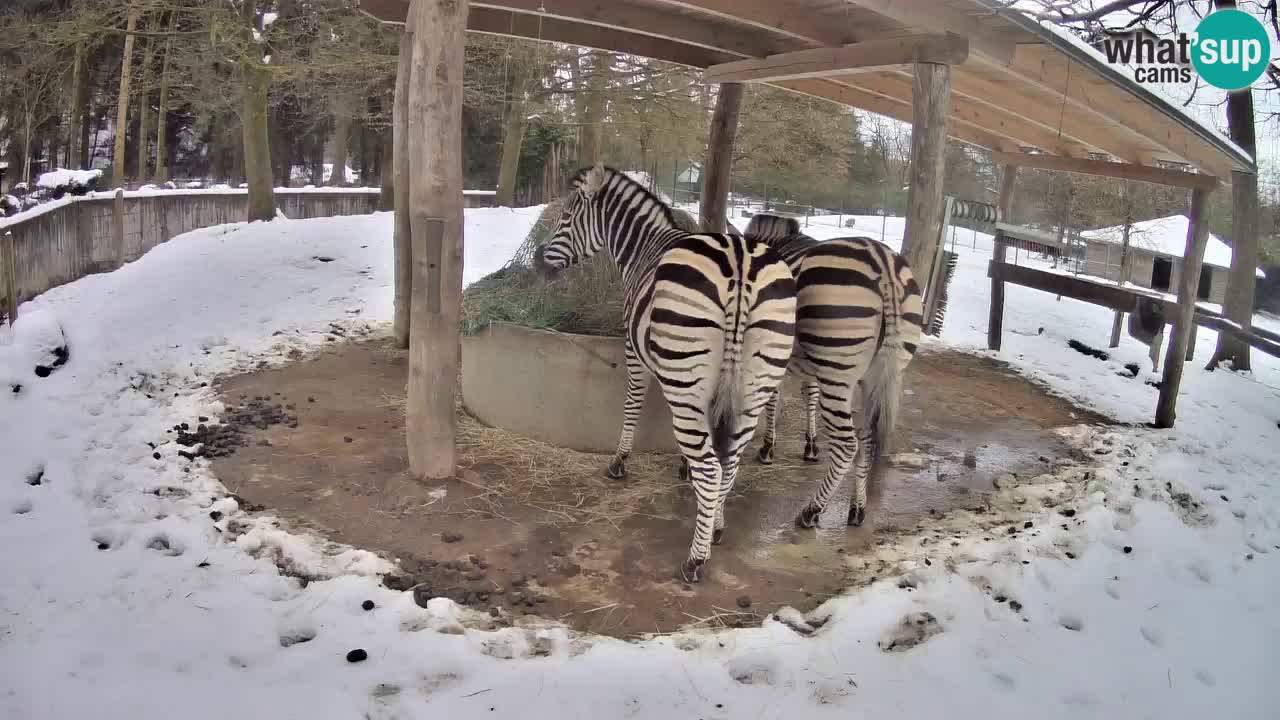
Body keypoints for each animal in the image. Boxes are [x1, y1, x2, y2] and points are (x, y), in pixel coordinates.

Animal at [534, 166, 797, 582]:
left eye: (565, 217)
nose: (536, 262)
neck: (643, 248)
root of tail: (741, 260)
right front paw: (686, 473)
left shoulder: (635, 351)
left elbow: (633, 404)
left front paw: (620, 461)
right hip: (754, 386)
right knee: (730, 461)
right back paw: (716, 528)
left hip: (690, 377)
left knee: (712, 468)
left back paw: (695, 560)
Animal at [743, 213, 923, 528]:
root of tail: (885, 266)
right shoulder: (810, 363)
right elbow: (809, 395)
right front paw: (810, 445)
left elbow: (774, 398)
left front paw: (768, 448)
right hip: (876, 375)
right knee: (867, 440)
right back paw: (857, 509)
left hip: (838, 373)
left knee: (848, 445)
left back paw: (811, 511)